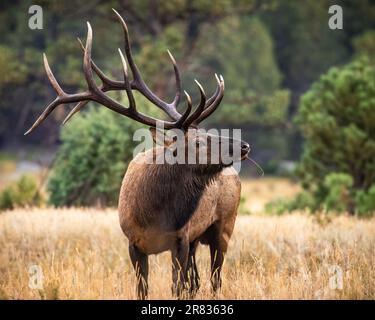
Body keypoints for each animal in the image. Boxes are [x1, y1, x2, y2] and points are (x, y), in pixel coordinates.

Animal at [25, 10, 251, 300]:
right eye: (199, 142)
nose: (243, 146)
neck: (155, 214)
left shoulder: (180, 238)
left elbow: (177, 287)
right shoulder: (134, 242)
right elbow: (144, 289)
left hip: (224, 227)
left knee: (215, 279)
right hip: (198, 239)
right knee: (199, 282)